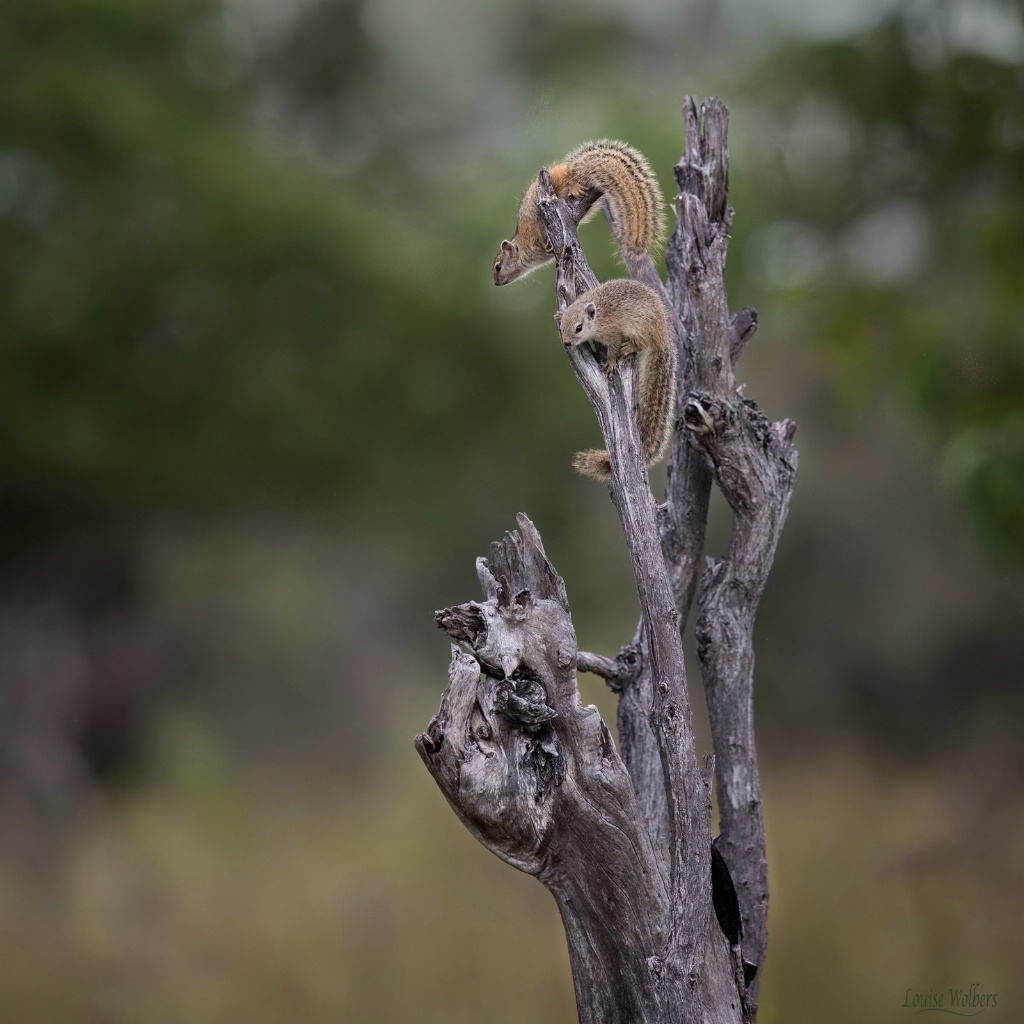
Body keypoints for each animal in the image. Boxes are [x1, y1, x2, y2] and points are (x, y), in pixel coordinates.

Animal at [493, 138, 667, 286]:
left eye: (498, 267)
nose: (495, 283)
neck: (523, 247)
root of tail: (570, 166)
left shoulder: (533, 231)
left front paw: (546, 246)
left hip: (559, 178)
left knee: (570, 176)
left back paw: (574, 184)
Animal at [557, 278, 675, 481]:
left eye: (579, 328)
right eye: (562, 325)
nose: (567, 343)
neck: (598, 316)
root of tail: (663, 335)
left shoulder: (612, 333)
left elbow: (612, 349)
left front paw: (611, 363)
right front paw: (557, 314)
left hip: (641, 328)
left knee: (642, 344)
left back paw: (629, 348)